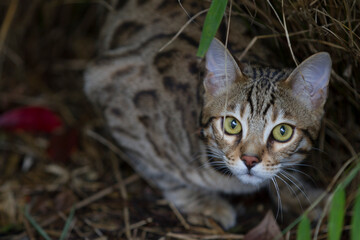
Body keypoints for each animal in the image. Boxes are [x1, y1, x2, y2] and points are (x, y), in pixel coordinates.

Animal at [83, 0, 330, 229]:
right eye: (232, 124)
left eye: (282, 131)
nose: (249, 160)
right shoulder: (110, 88)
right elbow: (161, 172)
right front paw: (204, 202)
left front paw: (303, 197)